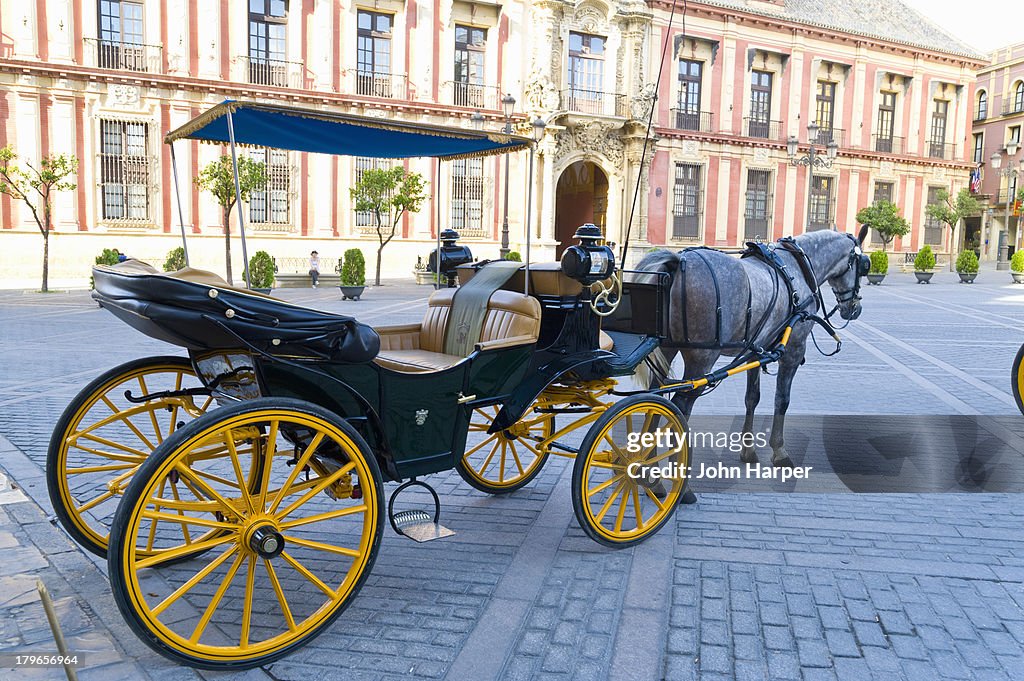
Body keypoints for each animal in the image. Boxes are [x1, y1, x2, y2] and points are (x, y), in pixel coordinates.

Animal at [634, 228, 868, 466]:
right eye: (865, 266)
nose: (854, 309)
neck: (798, 268)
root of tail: (677, 262)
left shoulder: (755, 351)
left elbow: (752, 398)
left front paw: (748, 450)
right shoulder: (794, 351)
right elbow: (782, 400)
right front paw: (779, 450)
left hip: (665, 349)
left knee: (655, 398)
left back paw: (648, 463)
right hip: (701, 358)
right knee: (680, 406)